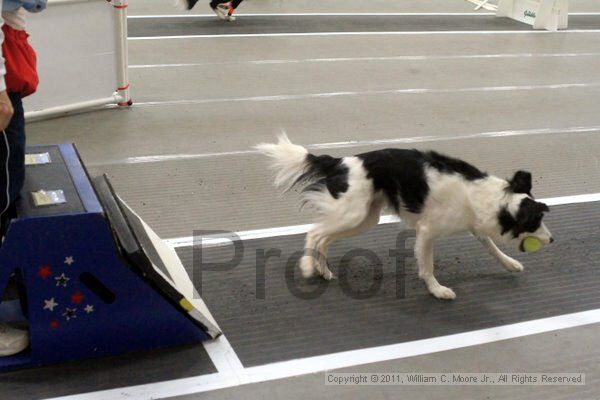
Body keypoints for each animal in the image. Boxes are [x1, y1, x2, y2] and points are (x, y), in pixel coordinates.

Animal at [255, 135, 552, 300]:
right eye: (535, 223)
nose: (551, 240)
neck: (489, 196)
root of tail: (341, 161)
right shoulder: (426, 232)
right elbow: (427, 267)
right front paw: (437, 291)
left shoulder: (473, 225)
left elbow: (491, 248)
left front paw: (510, 264)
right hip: (353, 214)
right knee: (314, 233)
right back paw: (308, 267)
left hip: (363, 218)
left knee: (324, 238)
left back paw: (323, 270)